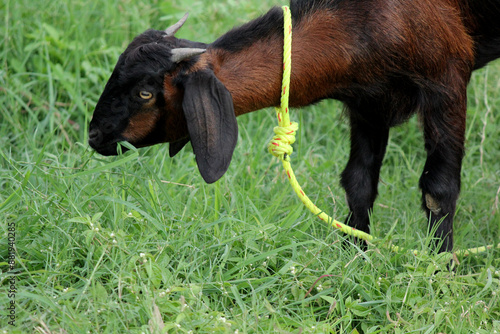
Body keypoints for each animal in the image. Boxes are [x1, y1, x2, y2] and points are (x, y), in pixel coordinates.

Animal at [90, 0, 500, 250]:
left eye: (145, 93)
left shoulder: (447, 80)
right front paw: (355, 252)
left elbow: (438, 189)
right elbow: (358, 181)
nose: (94, 136)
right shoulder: (369, 103)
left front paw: (440, 266)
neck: (366, 20)